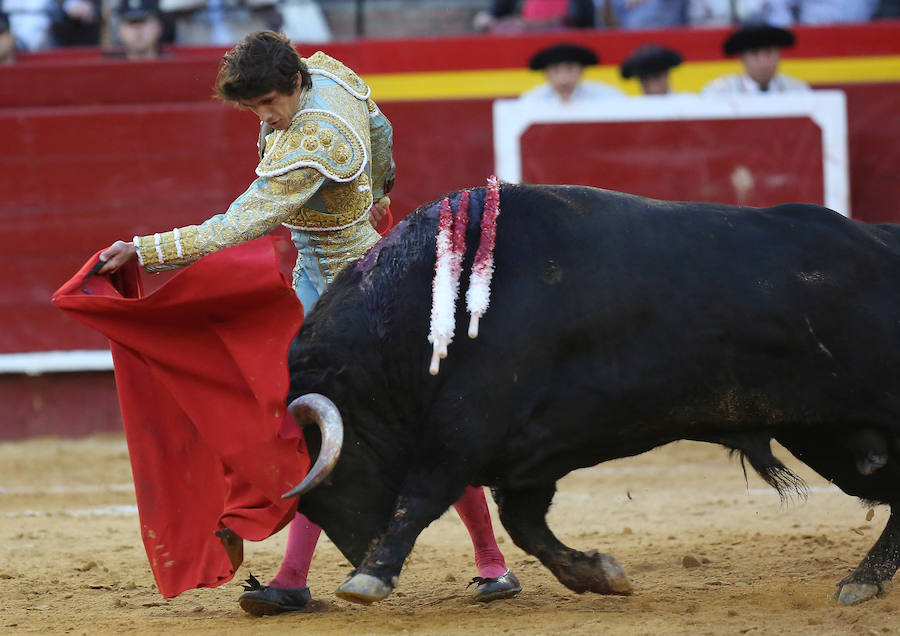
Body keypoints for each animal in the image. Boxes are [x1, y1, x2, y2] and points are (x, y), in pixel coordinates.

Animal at [284, 183, 900, 608]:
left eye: (332, 479)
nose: (356, 551)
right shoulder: (526, 455)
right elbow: (526, 525)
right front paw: (599, 574)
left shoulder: (464, 430)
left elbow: (421, 495)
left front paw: (370, 576)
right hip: (832, 438)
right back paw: (862, 581)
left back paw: (860, 582)